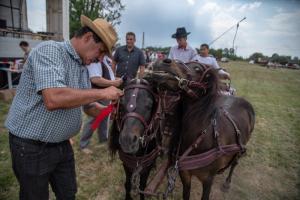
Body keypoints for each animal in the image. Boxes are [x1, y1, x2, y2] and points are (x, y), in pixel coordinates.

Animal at [145, 59, 255, 200]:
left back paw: (227, 183)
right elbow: (186, 194)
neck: (200, 137)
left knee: (235, 163)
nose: (163, 61)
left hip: (241, 147)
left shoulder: (207, 179)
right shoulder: (184, 174)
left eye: (197, 68)